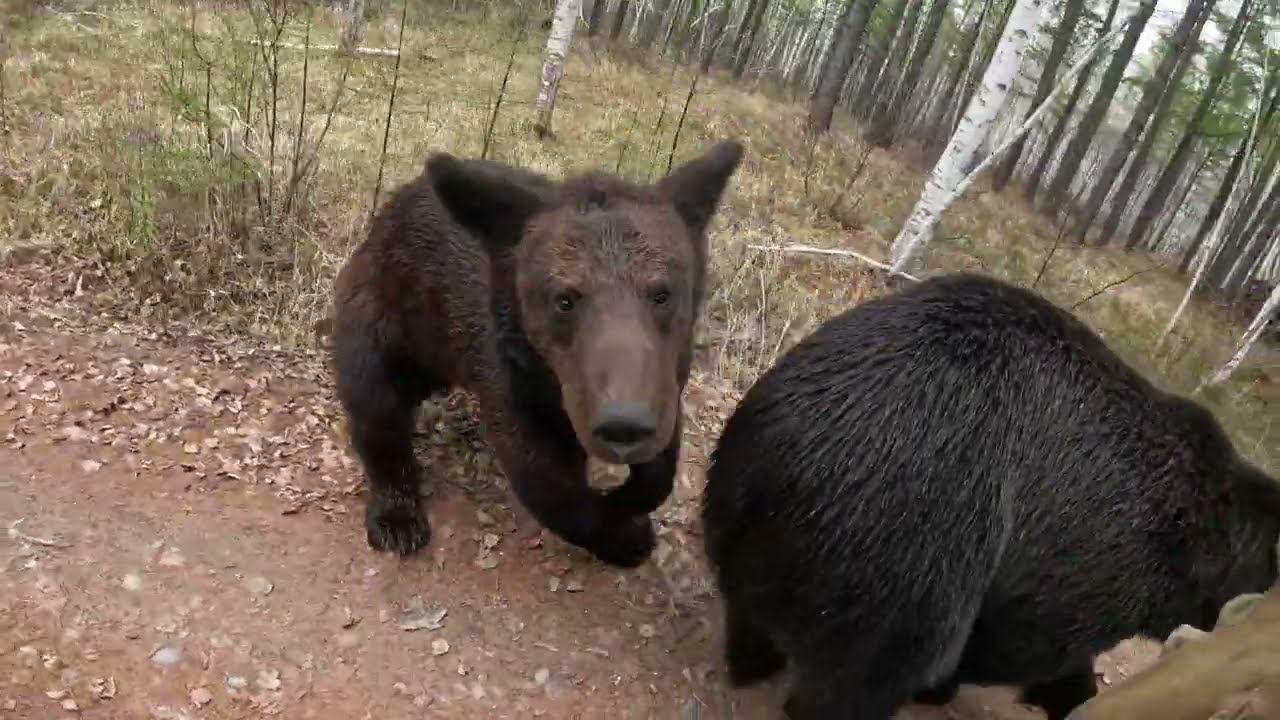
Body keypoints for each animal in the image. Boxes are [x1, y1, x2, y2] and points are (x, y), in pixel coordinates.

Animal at [330, 140, 747, 566]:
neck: (552, 383)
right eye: (564, 299)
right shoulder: (509, 378)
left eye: (662, 293)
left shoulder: (666, 370)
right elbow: (550, 486)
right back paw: (397, 518)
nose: (623, 424)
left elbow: (662, 457)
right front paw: (625, 534)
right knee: (377, 410)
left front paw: (629, 498)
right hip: (380, 317)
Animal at [701, 271, 1280, 717]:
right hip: (906, 535)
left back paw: (750, 660)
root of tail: (776, 457)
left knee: (749, 616)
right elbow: (1033, 639)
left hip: (742, 512)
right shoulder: (1098, 552)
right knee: (868, 669)